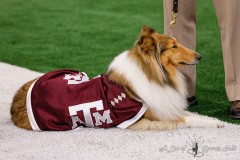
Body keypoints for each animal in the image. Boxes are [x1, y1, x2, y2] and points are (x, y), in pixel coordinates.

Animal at [10, 26, 224, 131]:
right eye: (174, 46)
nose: (199, 56)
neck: (154, 74)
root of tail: (15, 101)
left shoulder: (164, 106)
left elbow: (192, 115)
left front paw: (214, 120)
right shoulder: (148, 118)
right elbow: (187, 120)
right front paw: (216, 124)